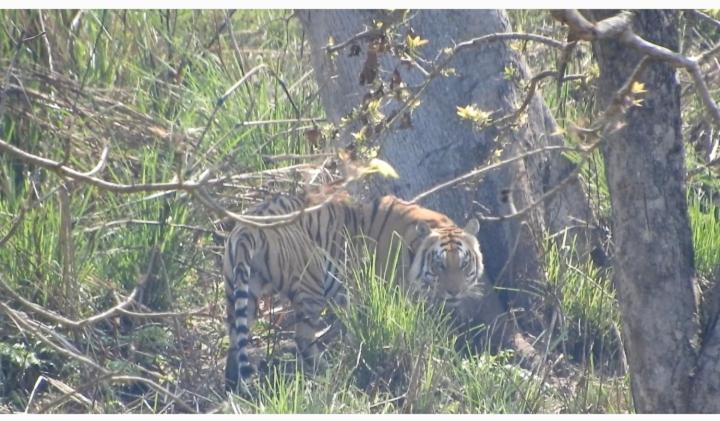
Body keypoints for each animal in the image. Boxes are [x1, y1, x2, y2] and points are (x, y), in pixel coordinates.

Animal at [224, 193, 484, 390]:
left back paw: (234, 389)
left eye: (463, 265)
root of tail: (247, 228)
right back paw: (327, 374)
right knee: (303, 339)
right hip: (310, 285)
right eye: (440, 265)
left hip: (240, 292)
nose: (454, 292)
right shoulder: (378, 294)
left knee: (235, 343)